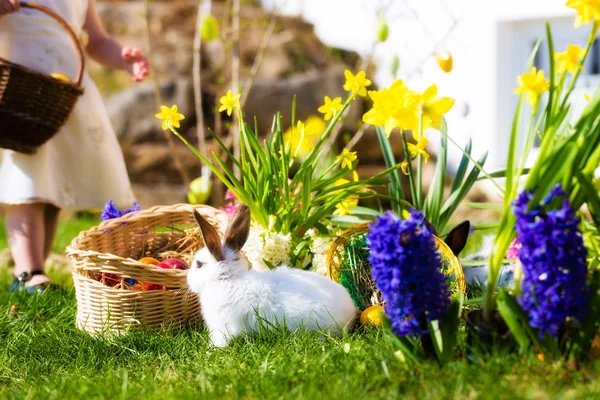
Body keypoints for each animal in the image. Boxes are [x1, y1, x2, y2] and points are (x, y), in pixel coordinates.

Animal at [189, 205, 356, 348]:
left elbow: (221, 341)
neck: (228, 278)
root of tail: (352, 311)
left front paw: (210, 350)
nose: (188, 281)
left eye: (199, 264)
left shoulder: (224, 327)